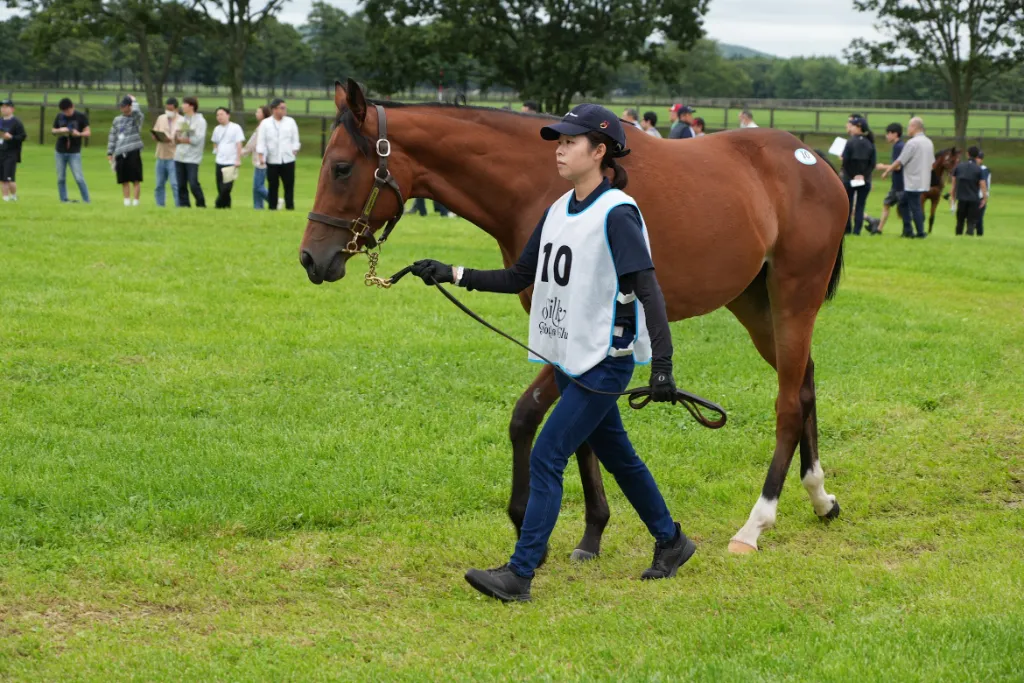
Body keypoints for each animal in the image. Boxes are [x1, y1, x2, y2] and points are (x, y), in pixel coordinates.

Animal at [301, 79, 849, 556]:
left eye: (342, 168)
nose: (310, 258)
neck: (543, 185)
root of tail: (812, 160)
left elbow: (533, 417)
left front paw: (527, 517)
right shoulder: (568, 331)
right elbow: (580, 425)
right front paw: (591, 532)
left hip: (794, 296)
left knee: (788, 404)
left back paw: (756, 524)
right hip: (755, 304)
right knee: (804, 383)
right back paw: (820, 497)